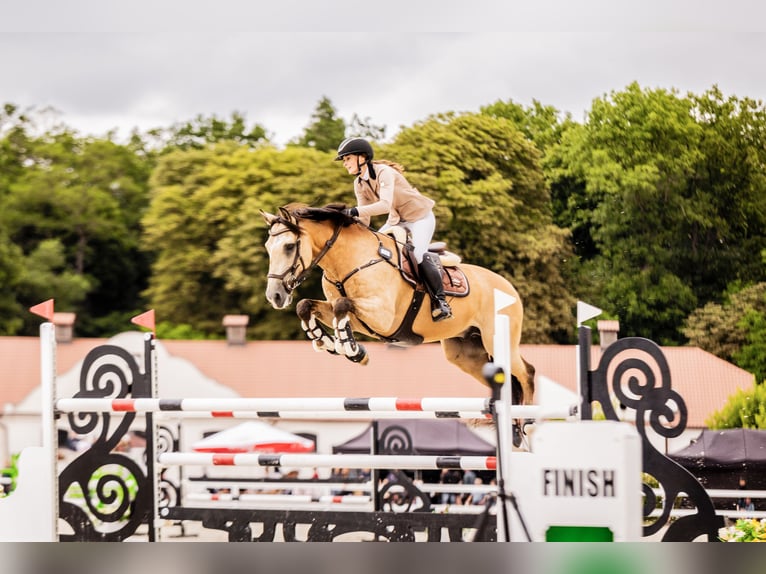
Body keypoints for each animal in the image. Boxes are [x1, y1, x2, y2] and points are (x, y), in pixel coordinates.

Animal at [260, 205, 536, 408]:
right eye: (268, 248)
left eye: (289, 246)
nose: (275, 296)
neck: (348, 261)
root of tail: (509, 287)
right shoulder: (361, 319)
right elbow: (307, 306)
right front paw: (329, 342)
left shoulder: (383, 316)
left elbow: (342, 304)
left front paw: (350, 348)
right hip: (465, 353)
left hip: (497, 341)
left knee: (527, 373)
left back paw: (527, 425)